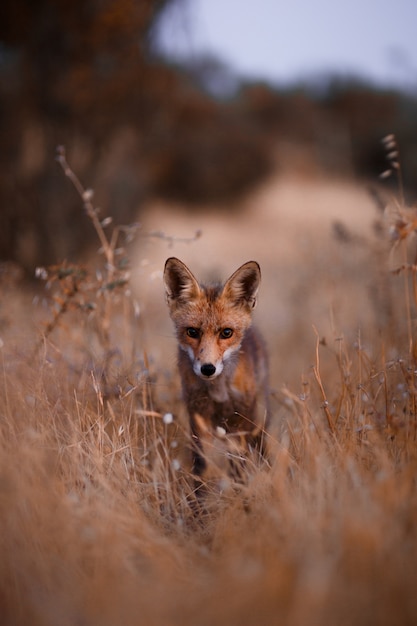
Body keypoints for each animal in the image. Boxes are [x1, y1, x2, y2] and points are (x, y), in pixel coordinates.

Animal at [162, 256, 270, 476]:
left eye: (226, 333)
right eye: (192, 332)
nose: (208, 368)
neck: (218, 390)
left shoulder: (240, 419)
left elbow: (238, 464)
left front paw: (239, 485)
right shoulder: (198, 416)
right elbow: (202, 464)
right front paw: (200, 486)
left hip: (258, 419)